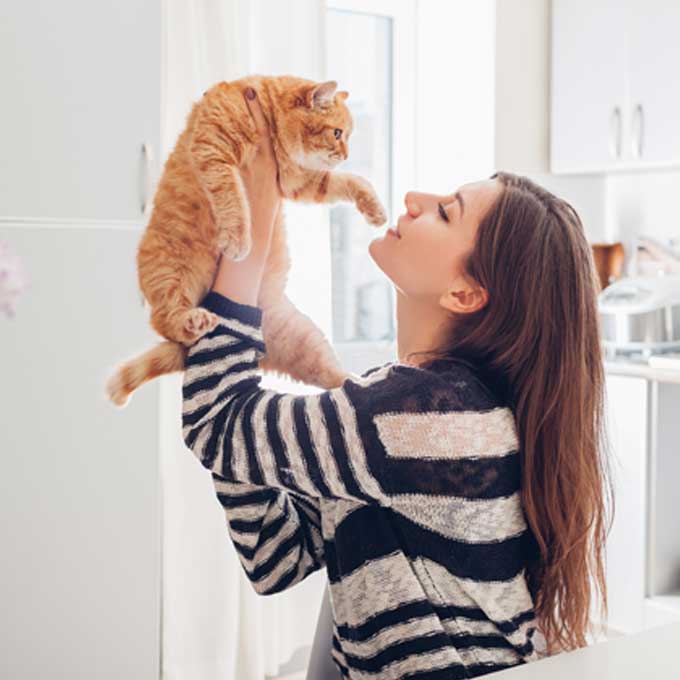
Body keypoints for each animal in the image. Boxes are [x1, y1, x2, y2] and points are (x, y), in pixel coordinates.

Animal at [103, 74, 386, 406]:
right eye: (338, 133)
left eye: (347, 136)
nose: (346, 155)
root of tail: (261, 350)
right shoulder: (214, 151)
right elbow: (232, 199)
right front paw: (238, 238)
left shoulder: (297, 182)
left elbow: (350, 181)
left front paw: (376, 210)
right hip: (171, 275)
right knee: (166, 320)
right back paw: (194, 321)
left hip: (306, 341)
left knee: (335, 377)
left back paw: (366, 382)